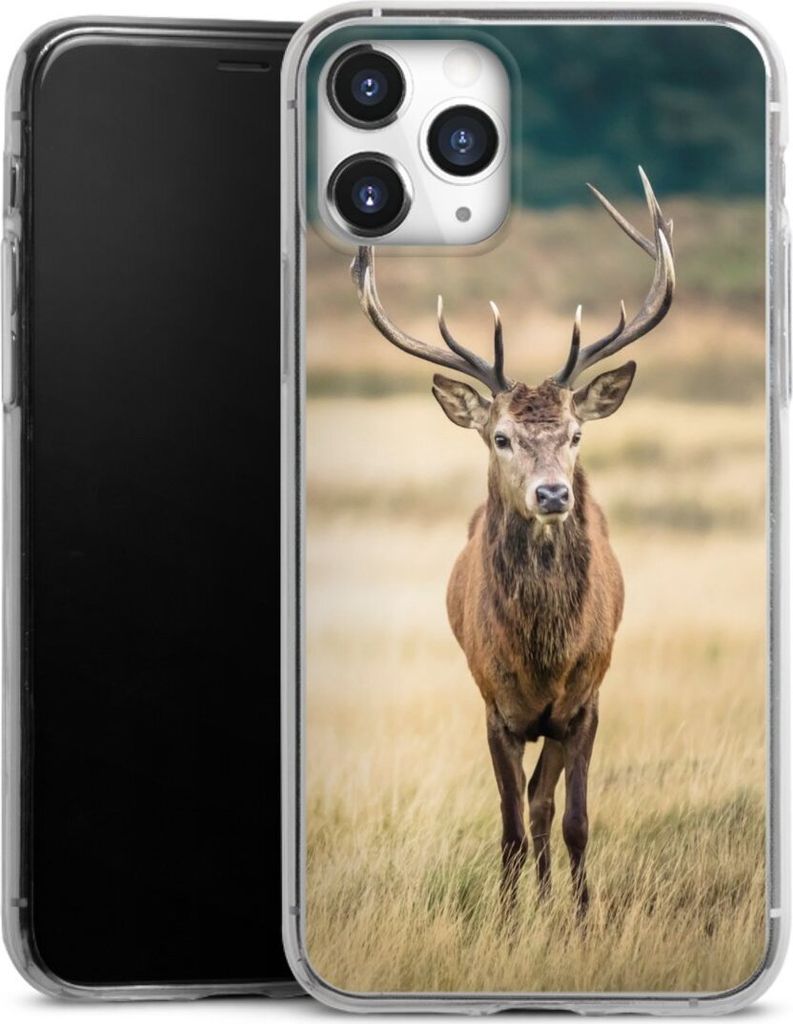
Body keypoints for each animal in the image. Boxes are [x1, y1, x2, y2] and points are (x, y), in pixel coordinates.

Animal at [350, 168, 675, 918]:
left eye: (576, 435)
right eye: (500, 437)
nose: (553, 494)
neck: (541, 658)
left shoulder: (584, 702)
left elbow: (572, 819)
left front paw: (580, 919)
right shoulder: (493, 706)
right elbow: (507, 827)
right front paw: (504, 919)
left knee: (544, 805)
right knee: (526, 809)